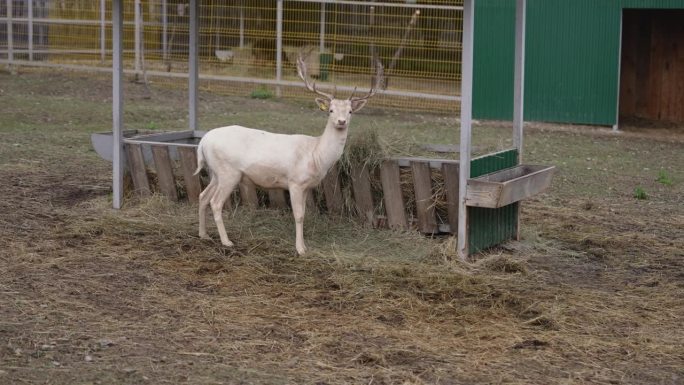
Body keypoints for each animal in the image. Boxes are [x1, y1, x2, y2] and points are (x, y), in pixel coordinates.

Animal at [195, 55, 382, 254]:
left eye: (350, 111)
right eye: (330, 110)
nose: (341, 121)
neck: (316, 155)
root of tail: (203, 142)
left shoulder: (307, 186)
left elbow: (305, 214)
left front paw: (303, 245)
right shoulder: (295, 182)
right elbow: (298, 215)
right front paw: (300, 249)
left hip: (216, 172)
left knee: (203, 196)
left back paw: (203, 234)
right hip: (228, 172)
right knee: (215, 202)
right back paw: (226, 241)